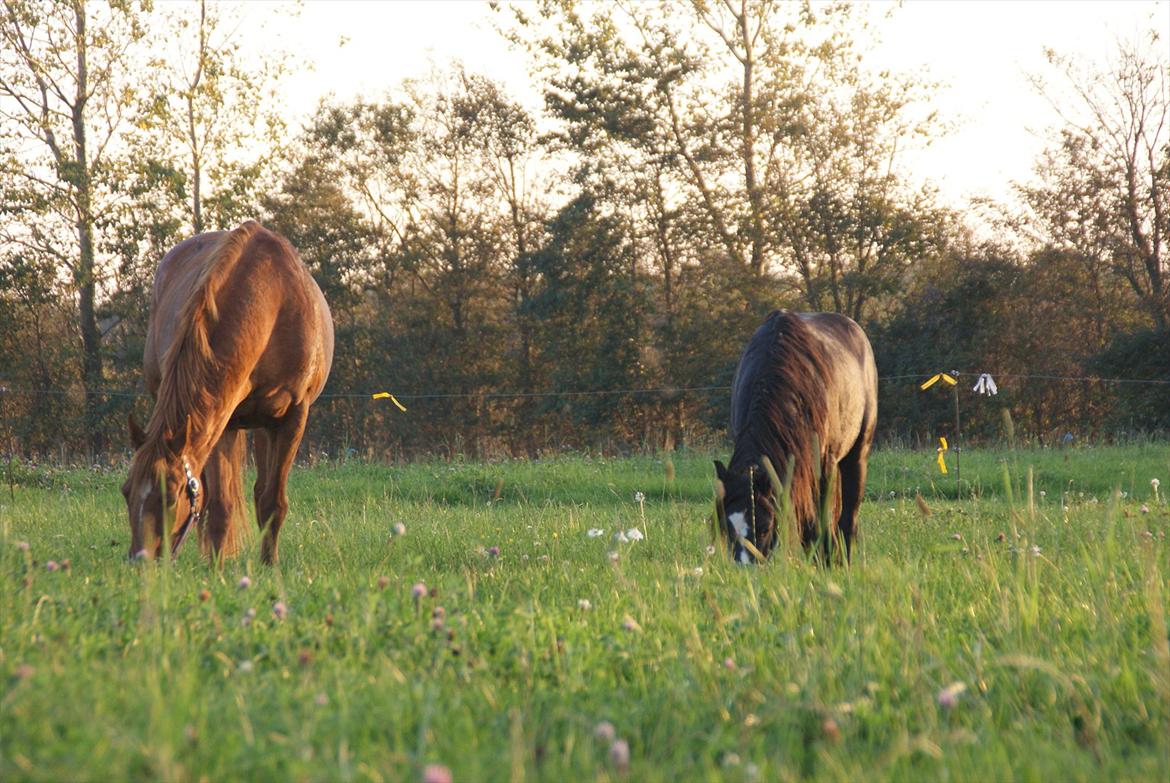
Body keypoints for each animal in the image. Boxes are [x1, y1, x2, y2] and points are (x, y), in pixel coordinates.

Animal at [121, 220, 334, 564]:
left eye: (172, 496)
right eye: (126, 491)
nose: (140, 560)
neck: (272, 302)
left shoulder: (293, 417)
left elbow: (273, 502)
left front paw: (269, 564)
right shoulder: (223, 421)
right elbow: (220, 506)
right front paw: (216, 569)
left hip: (266, 424)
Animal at [714, 310, 877, 565]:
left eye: (764, 528)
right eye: (727, 529)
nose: (746, 567)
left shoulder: (823, 467)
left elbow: (822, 523)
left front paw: (829, 562)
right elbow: (809, 526)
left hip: (856, 455)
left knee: (848, 520)